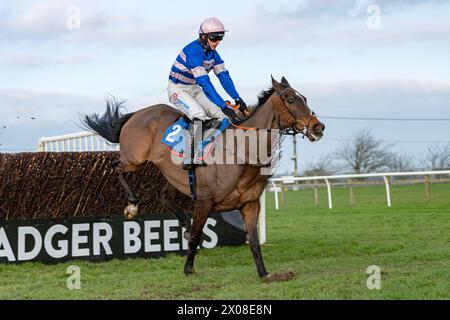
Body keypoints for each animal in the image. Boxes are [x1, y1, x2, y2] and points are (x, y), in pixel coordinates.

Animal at [83, 75, 324, 280]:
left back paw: (184, 225)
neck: (241, 152)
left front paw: (265, 274)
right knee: (116, 167)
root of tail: (136, 114)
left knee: (162, 195)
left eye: (304, 98)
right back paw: (132, 205)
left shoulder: (250, 204)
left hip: (172, 176)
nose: (318, 127)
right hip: (134, 159)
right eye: (290, 99)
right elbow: (197, 237)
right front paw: (189, 269)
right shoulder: (204, 202)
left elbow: (254, 243)